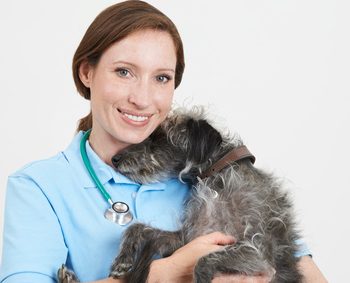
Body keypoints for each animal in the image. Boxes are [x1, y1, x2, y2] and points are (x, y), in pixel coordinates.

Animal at [57, 108, 304, 283]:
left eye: (159, 137)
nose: (115, 159)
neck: (214, 181)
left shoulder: (258, 255)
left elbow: (203, 261)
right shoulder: (188, 240)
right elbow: (137, 227)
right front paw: (123, 260)